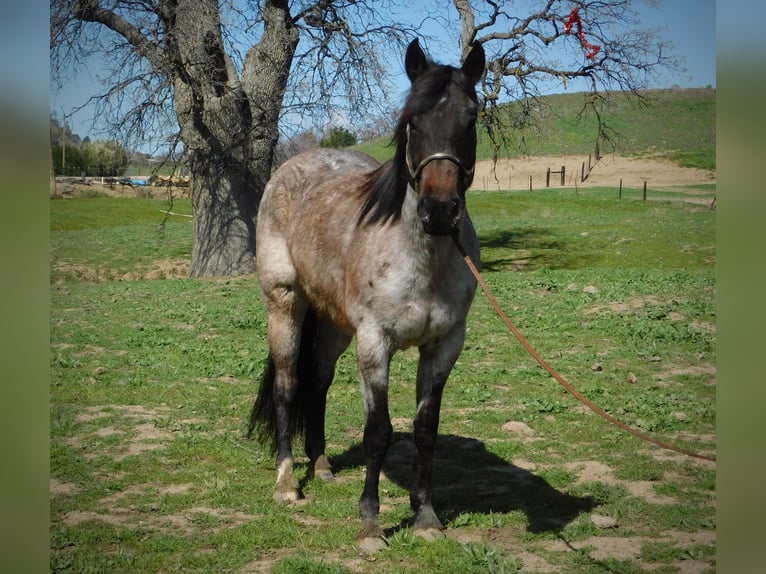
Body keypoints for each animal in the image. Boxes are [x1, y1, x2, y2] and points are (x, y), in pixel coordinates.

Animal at [248, 36, 486, 548]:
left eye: (471, 118)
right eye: (412, 122)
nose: (440, 211)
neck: (420, 258)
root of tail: (292, 167)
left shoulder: (444, 346)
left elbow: (425, 429)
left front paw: (425, 516)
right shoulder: (376, 344)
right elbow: (379, 431)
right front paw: (371, 523)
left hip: (336, 326)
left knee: (317, 382)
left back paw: (320, 464)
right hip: (285, 305)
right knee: (287, 386)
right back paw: (287, 482)